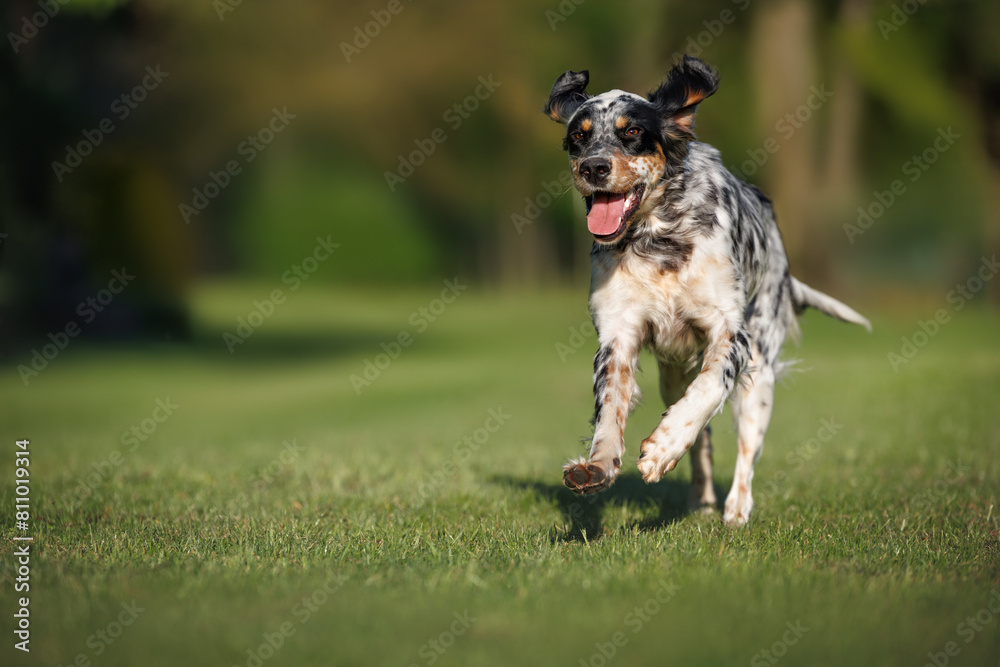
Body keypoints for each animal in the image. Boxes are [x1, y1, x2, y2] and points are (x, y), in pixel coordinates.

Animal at [544, 56, 872, 528]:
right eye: (578, 136)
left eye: (632, 131)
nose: (593, 167)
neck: (658, 240)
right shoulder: (617, 334)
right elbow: (610, 407)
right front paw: (598, 465)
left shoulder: (730, 333)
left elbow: (709, 389)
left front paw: (663, 447)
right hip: (671, 374)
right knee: (703, 438)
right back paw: (699, 497)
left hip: (760, 377)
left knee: (745, 448)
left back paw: (735, 508)